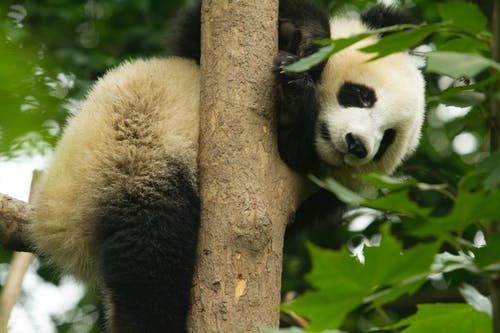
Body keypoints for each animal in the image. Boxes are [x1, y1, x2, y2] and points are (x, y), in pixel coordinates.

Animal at [29, 0, 424, 330]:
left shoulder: (321, 194)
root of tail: (58, 231)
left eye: (387, 139)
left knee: (151, 256)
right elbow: (193, 34)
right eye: (360, 95)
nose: (358, 145)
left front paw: (296, 100)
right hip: (127, 155)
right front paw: (306, 39)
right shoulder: (198, 58)